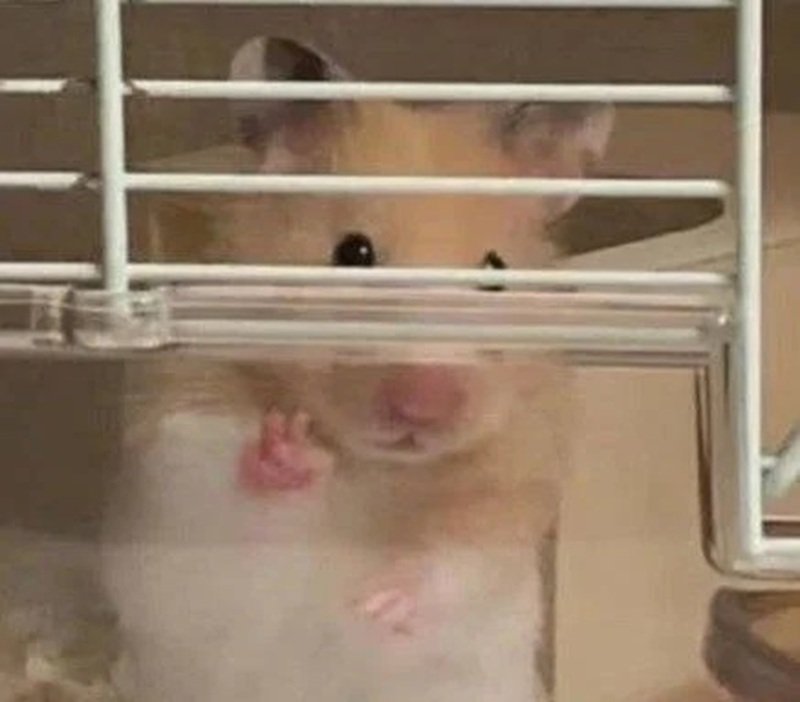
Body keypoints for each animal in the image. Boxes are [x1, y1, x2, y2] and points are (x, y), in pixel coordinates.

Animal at [100, 36, 613, 702]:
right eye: (353, 252)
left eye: (495, 271)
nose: (423, 407)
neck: (373, 464)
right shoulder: (182, 441)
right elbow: (229, 474)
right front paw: (291, 452)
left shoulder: (514, 484)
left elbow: (461, 551)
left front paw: (378, 601)